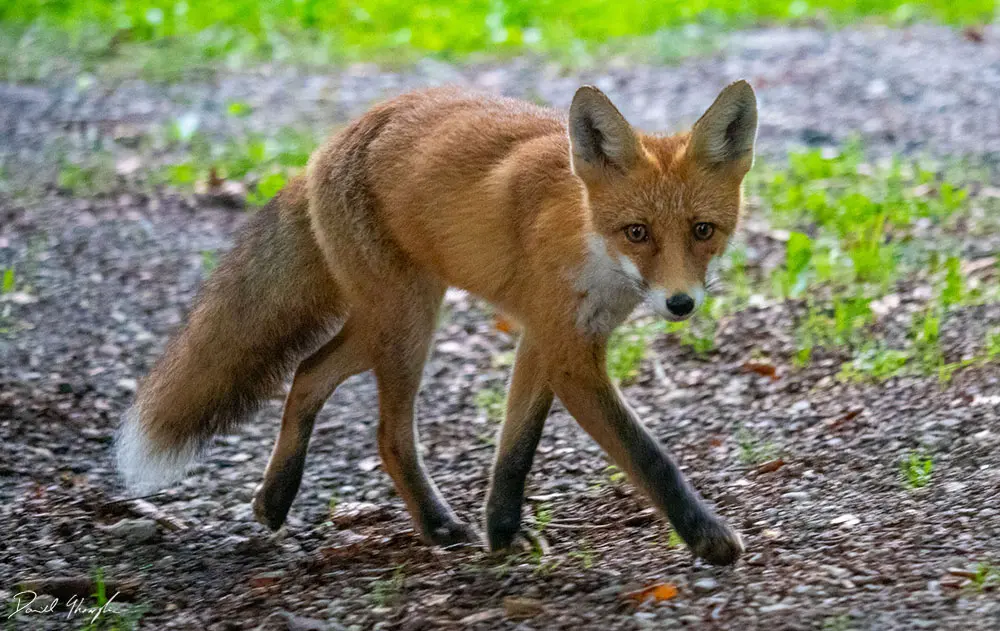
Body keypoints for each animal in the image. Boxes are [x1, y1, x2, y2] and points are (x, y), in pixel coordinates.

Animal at [116, 80, 758, 566]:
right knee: (386, 433)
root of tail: (326, 148)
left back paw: (276, 499)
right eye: (637, 232)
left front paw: (502, 531)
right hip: (406, 324)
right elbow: (648, 455)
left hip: (389, 321)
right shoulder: (569, 352)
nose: (680, 303)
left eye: (702, 230)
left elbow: (516, 447)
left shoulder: (546, 338)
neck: (587, 239)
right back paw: (434, 525)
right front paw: (708, 538)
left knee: (307, 372)